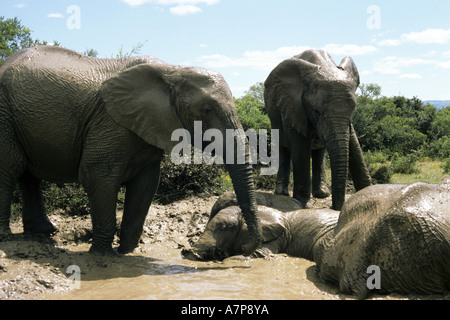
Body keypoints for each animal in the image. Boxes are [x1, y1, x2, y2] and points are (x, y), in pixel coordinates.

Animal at [0, 45, 262, 255]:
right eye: (206, 110)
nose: (243, 249)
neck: (171, 70)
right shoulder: (108, 122)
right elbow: (99, 176)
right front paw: (102, 255)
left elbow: (146, 184)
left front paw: (126, 253)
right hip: (4, 113)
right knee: (11, 167)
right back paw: (7, 237)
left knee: (27, 174)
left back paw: (44, 233)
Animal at [266, 49, 370, 210]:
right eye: (316, 111)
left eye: (353, 109)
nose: (335, 208)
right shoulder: (293, 106)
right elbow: (299, 147)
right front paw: (302, 202)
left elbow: (354, 144)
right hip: (275, 116)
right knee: (283, 148)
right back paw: (282, 193)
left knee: (319, 152)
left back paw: (322, 194)